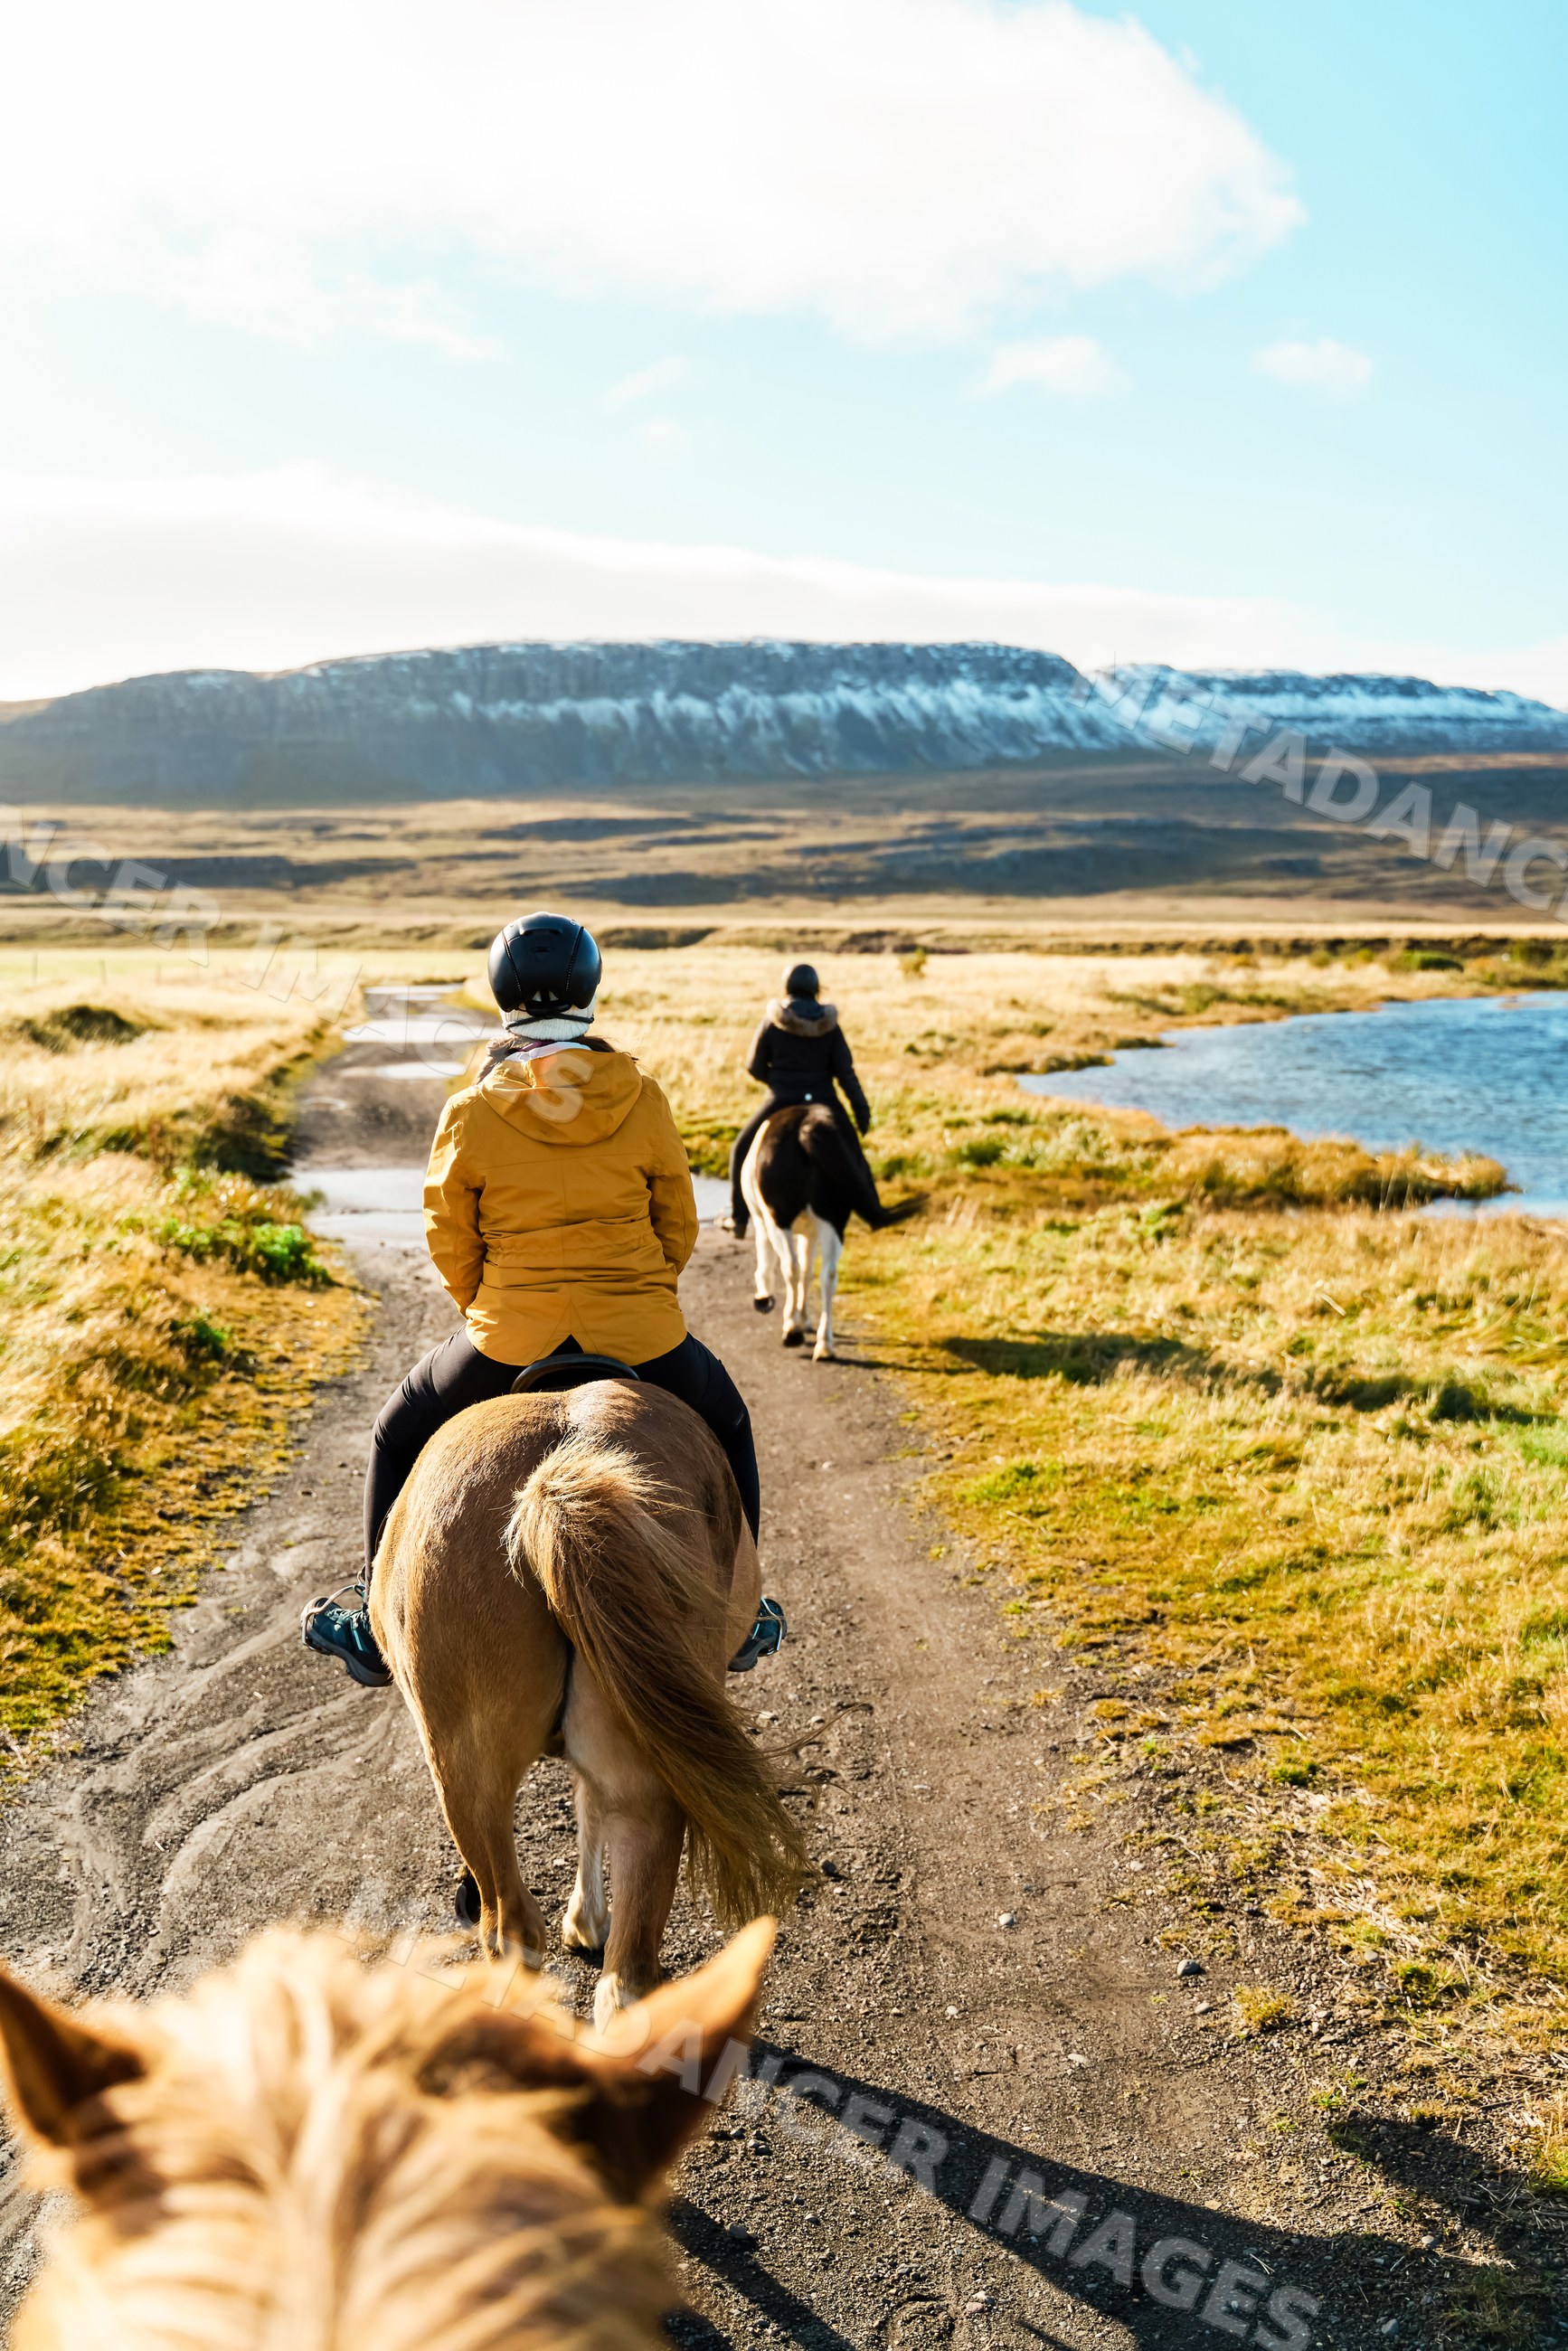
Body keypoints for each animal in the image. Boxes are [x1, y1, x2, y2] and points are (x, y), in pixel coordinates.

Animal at [370, 1376, 807, 2026]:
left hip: (463, 1769)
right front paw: (587, 1920)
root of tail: (552, 1486)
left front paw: (583, 1920)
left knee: (516, 1931)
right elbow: (589, 1802)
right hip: (637, 1762)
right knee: (618, 1975)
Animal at [741, 1103, 891, 1361]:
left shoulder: (763, 1222)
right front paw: (805, 1318)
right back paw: (824, 1344)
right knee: (828, 1275)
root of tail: (806, 1123)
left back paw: (791, 1330)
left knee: (791, 1267)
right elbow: (808, 1272)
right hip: (833, 1222)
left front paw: (788, 1314)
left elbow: (773, 1265)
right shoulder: (810, 1233)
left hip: (780, 1220)